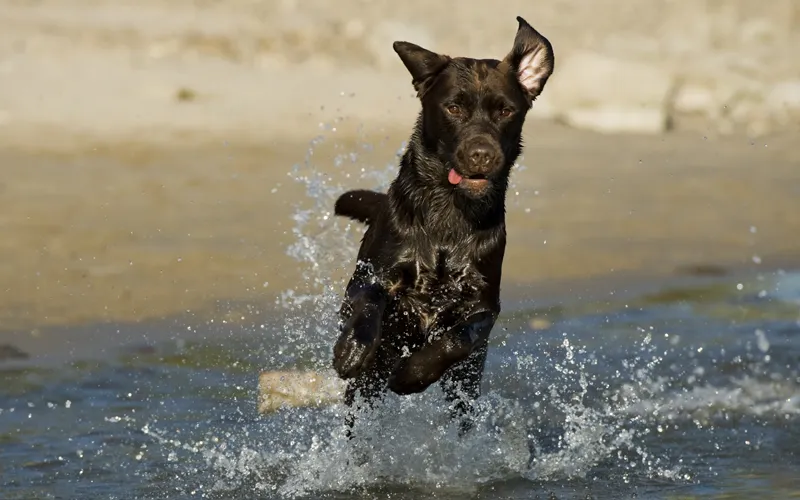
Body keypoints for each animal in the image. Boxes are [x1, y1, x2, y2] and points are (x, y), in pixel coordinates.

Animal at [328, 17, 552, 436]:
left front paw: (412, 374)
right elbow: (370, 299)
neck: (449, 215)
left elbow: (460, 335)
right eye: (453, 107)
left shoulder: (484, 304)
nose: (482, 155)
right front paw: (351, 349)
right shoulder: (370, 277)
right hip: (364, 390)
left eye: (505, 111)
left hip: (465, 385)